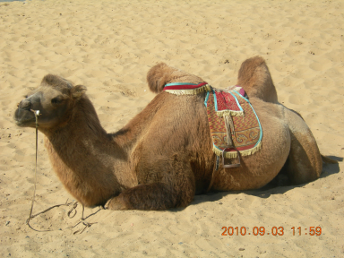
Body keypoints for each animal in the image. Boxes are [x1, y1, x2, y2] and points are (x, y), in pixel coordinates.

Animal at [13, 56, 322, 210]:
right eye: (30, 90)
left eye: (56, 99)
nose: (21, 108)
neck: (124, 157)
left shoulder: (168, 169)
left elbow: (117, 201)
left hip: (302, 140)